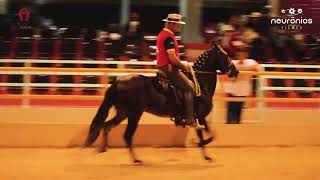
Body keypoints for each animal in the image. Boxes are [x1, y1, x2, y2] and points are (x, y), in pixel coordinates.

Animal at [84, 41, 239, 164]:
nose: (236, 72)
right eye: (226, 55)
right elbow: (208, 136)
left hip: (123, 113)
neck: (200, 83)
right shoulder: (198, 117)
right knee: (127, 135)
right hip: (134, 114)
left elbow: (209, 135)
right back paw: (136, 160)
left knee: (106, 126)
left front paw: (206, 156)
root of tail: (117, 82)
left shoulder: (199, 118)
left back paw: (103, 149)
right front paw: (198, 145)